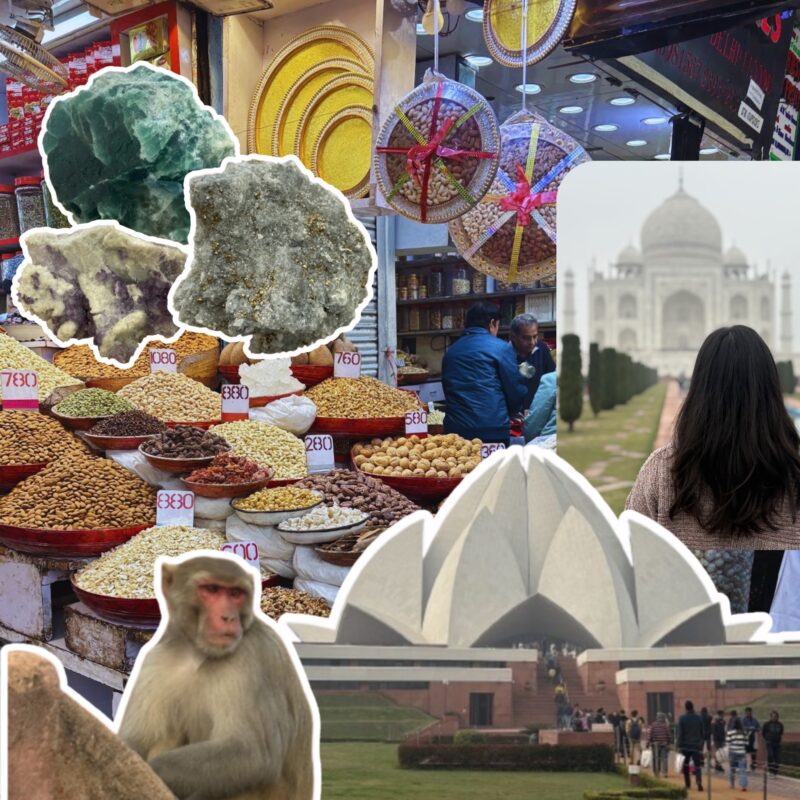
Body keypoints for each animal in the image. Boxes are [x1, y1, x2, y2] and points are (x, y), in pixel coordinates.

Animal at [119, 552, 318, 800]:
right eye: (211, 589)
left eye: (235, 593)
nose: (228, 618)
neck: (198, 654)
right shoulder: (155, 661)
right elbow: (134, 741)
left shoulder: (252, 658)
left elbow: (252, 753)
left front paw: (150, 773)